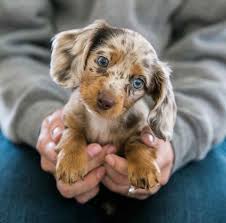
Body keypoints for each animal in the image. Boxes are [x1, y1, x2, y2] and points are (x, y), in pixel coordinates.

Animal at [49, 20, 177, 191]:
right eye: (103, 61)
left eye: (138, 82)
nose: (105, 101)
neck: (102, 121)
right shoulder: (70, 119)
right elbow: (73, 134)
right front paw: (71, 162)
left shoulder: (139, 130)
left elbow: (137, 143)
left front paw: (144, 167)